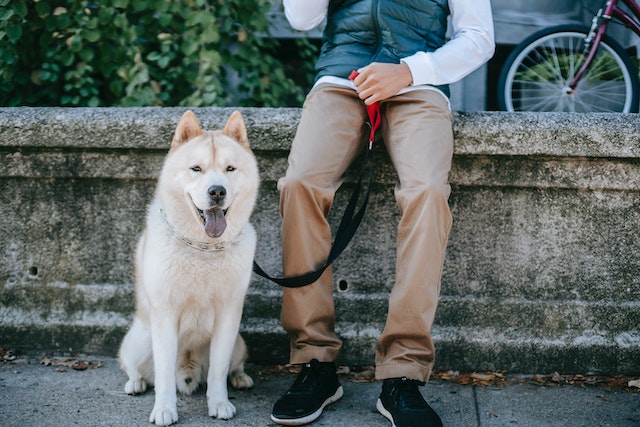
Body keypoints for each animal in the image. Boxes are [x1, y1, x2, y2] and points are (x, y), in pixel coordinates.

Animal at [119, 109, 258, 424]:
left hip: (239, 342)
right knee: (134, 367)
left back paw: (240, 378)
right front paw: (164, 409)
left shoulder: (228, 315)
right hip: (139, 340)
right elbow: (164, 373)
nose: (217, 191)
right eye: (196, 168)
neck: (202, 248)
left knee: (235, 364)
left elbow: (219, 368)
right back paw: (135, 383)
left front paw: (219, 403)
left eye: (230, 169)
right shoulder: (165, 314)